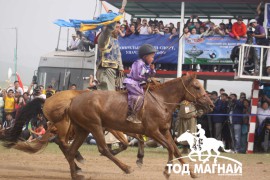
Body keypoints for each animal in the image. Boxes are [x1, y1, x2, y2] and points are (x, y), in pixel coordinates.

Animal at [63, 73, 213, 179]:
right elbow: (170, 148)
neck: (161, 101)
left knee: (71, 151)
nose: (211, 105)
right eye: (197, 87)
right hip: (94, 126)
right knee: (103, 149)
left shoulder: (165, 131)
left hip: (82, 129)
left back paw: (75, 174)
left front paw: (192, 172)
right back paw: (126, 168)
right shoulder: (153, 131)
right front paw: (167, 171)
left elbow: (176, 150)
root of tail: (72, 101)